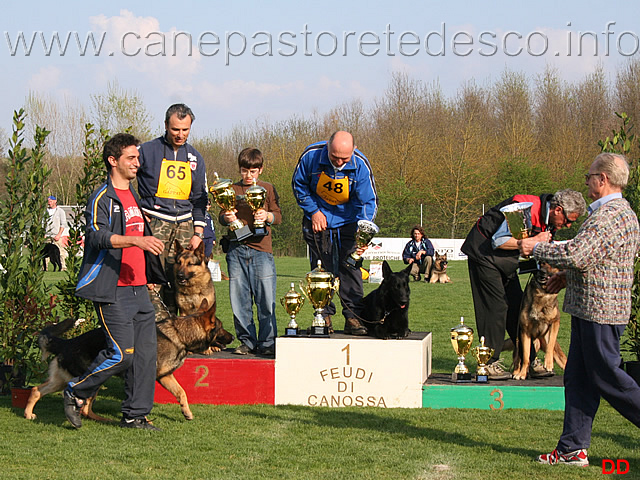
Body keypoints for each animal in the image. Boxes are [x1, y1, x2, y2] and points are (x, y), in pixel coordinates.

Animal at [25, 298, 235, 422]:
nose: (233, 337)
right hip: (91, 379)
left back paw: (28, 414)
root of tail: (67, 342)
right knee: (79, 401)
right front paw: (143, 420)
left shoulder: (165, 376)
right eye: (221, 328)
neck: (180, 335)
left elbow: (182, 392)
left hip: (63, 380)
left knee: (36, 390)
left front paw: (186, 412)